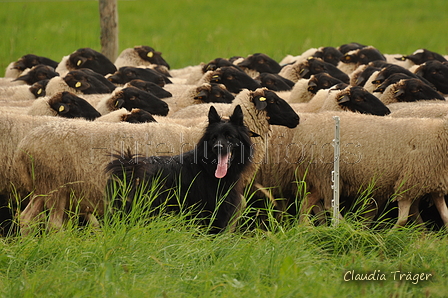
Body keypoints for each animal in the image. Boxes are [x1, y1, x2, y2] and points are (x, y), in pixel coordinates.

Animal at [258, 110, 448, 227]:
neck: (440, 133)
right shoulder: (409, 182)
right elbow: (402, 219)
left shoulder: (434, 184)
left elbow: (445, 216)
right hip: (326, 175)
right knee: (326, 205)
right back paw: (345, 227)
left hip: (318, 179)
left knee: (309, 204)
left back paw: (308, 227)